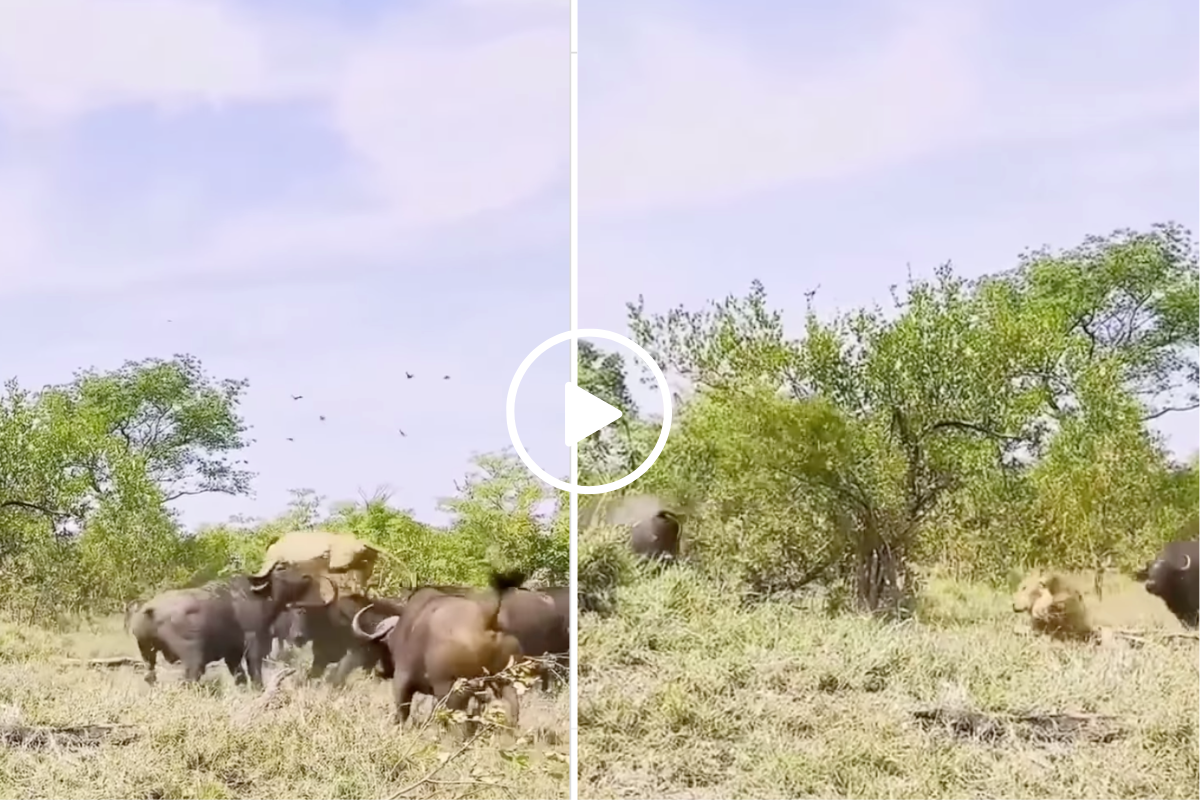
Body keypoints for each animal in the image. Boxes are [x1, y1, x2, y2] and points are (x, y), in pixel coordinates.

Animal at [130, 563, 338, 690]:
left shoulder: (233, 654)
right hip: (193, 658)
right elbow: (255, 672)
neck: (259, 594)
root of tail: (150, 609)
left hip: (147, 655)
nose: (307, 575)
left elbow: (240, 677)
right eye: (282, 568)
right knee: (189, 678)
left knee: (150, 676)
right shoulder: (254, 643)